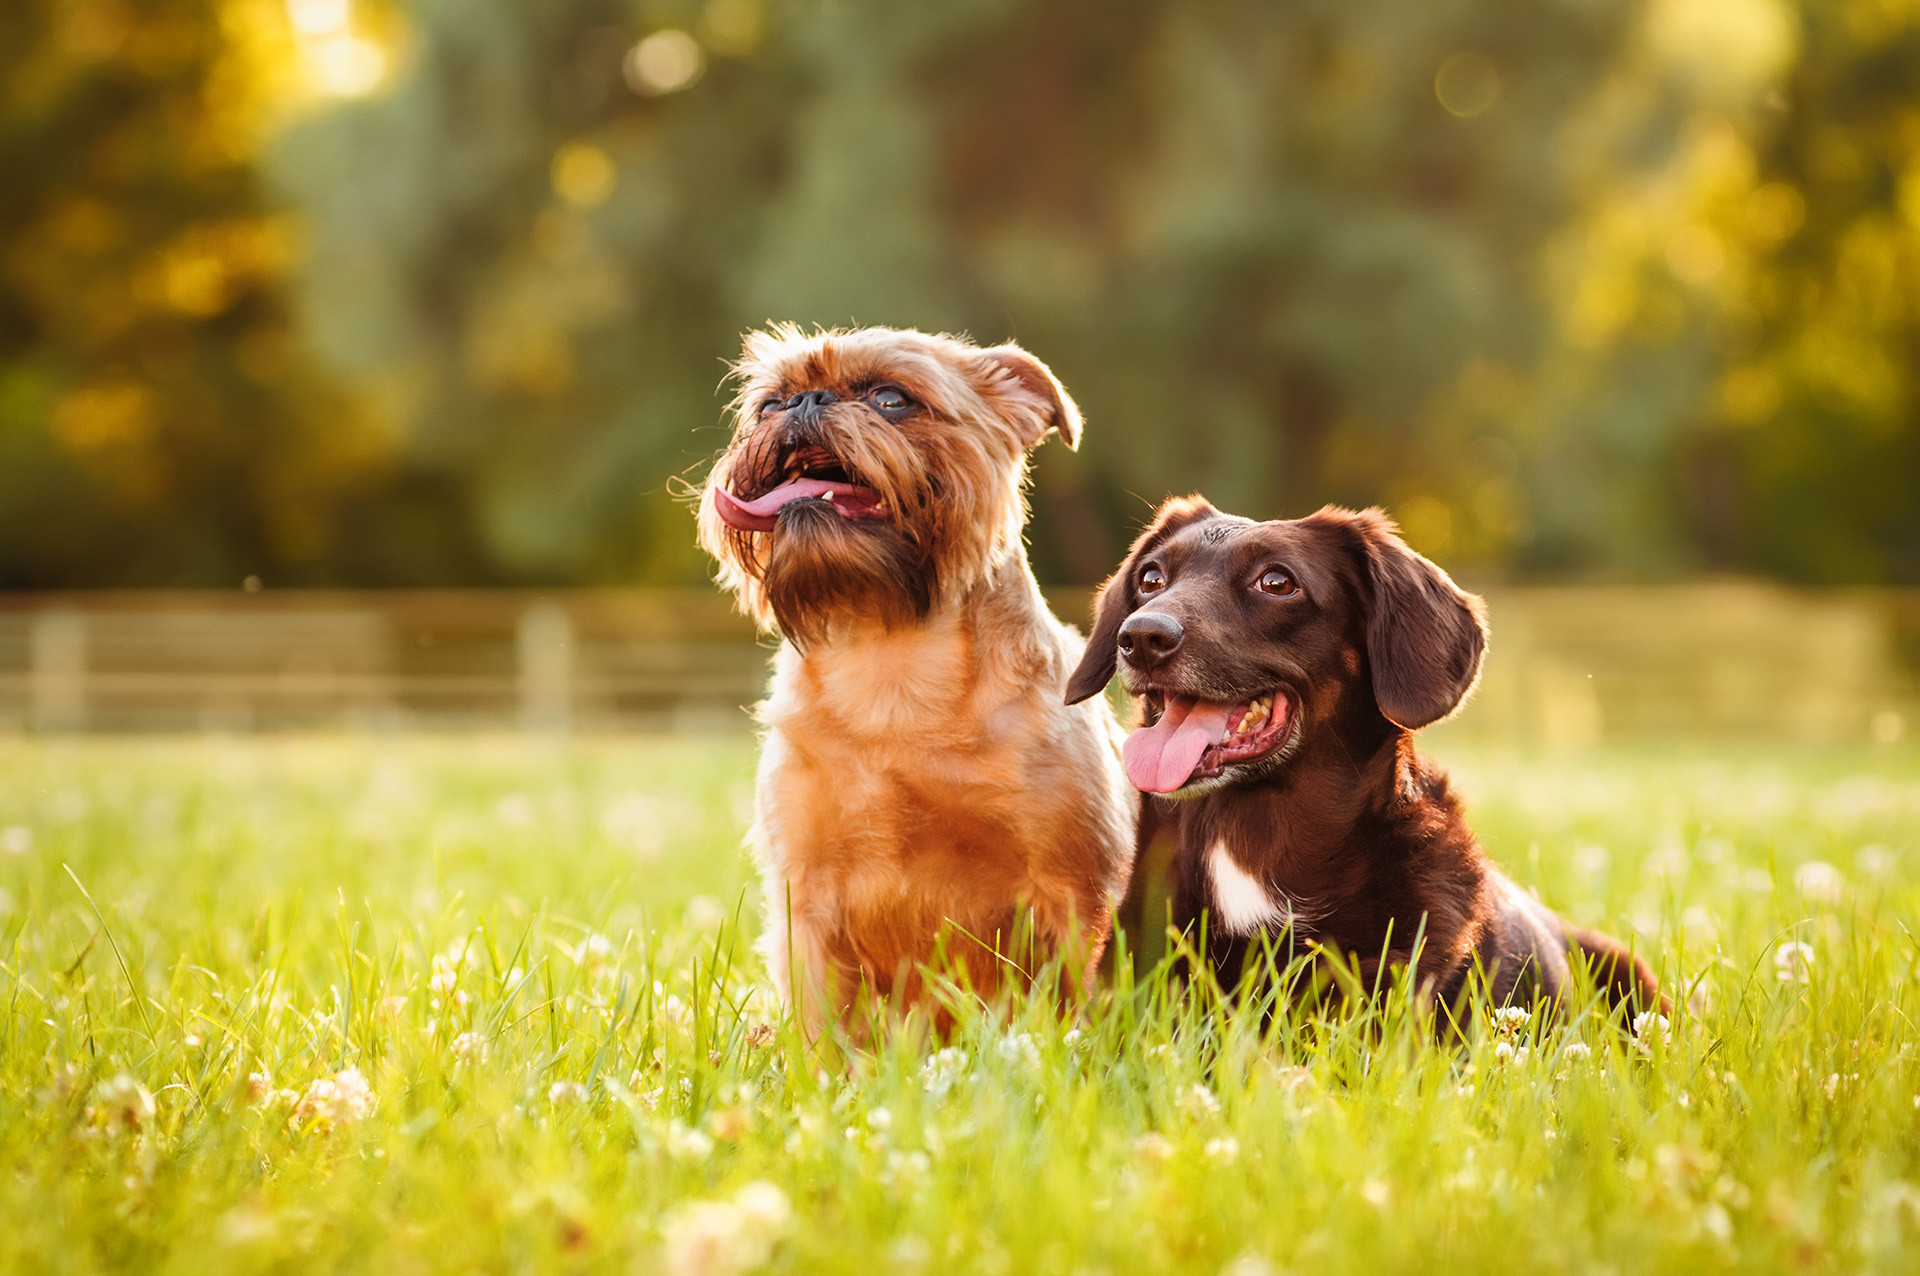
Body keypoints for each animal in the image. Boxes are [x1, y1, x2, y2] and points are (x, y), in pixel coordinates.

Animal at [695, 324, 1128, 1028]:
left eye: (892, 399)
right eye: (769, 405)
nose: (806, 401)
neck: (890, 655)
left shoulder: (1074, 894)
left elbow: (1072, 1008)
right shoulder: (805, 904)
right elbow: (820, 1034)